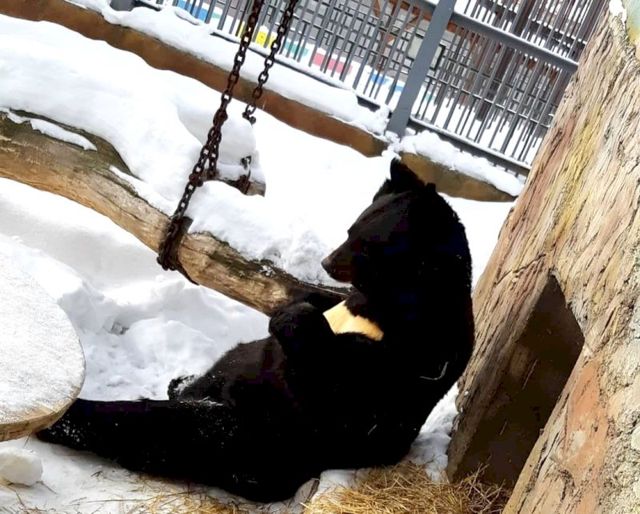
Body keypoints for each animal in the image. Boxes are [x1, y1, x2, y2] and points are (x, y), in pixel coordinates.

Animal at [38, 159, 474, 502]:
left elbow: (344, 388)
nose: (327, 261)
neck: (387, 303)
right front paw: (295, 304)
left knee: (165, 429)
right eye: (352, 229)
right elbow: (309, 302)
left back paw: (71, 417)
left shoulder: (417, 354)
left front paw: (297, 320)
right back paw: (179, 382)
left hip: (255, 435)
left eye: (365, 245)